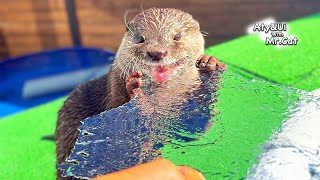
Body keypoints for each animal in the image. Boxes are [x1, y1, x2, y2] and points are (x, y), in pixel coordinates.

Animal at [55, 7, 225, 179]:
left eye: (177, 36)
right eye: (140, 39)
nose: (157, 52)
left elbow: (193, 130)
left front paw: (210, 65)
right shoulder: (114, 89)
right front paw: (135, 91)